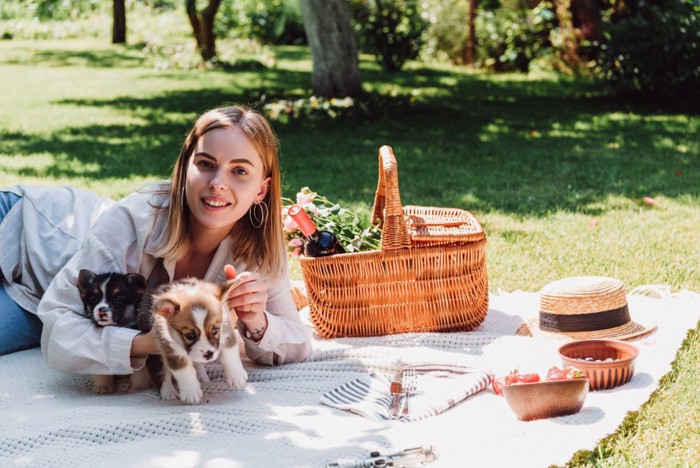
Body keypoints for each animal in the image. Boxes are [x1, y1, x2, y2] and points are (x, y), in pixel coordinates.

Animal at [137, 276, 249, 404]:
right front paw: (191, 391)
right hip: (155, 355)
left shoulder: (225, 328)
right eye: (190, 336)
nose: (209, 354)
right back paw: (168, 391)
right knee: (161, 371)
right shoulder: (169, 345)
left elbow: (230, 351)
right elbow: (183, 369)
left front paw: (236, 375)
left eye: (215, 330)